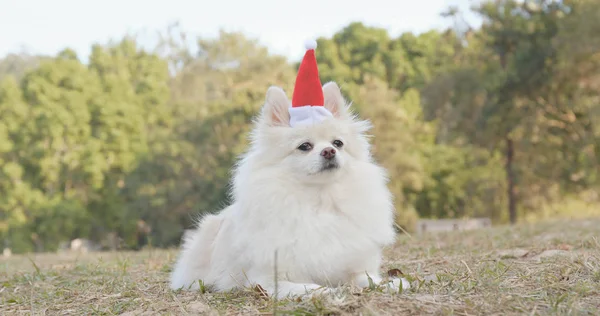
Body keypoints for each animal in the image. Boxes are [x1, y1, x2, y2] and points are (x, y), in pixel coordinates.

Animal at [171, 40, 410, 298]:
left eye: (338, 143)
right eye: (304, 146)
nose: (329, 152)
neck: (319, 200)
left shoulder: (353, 266)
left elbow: (364, 278)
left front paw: (390, 283)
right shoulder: (267, 280)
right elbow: (308, 286)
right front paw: (327, 293)